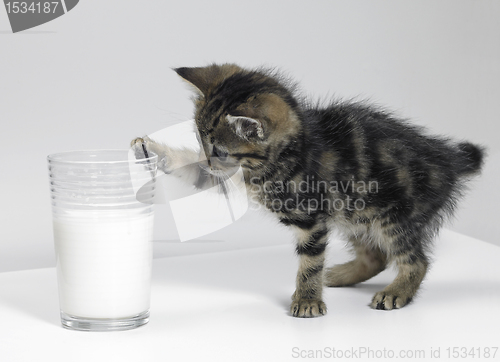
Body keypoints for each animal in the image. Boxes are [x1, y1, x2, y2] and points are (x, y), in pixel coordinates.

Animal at [131, 63, 482, 318]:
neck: (285, 155)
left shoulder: (312, 218)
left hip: (393, 216)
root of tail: (450, 161)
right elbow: (195, 172)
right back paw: (339, 276)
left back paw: (396, 291)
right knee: (377, 256)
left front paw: (308, 300)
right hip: (353, 213)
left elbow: (310, 263)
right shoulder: (231, 178)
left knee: (415, 260)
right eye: (201, 143)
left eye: (220, 150)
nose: (209, 161)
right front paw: (148, 148)